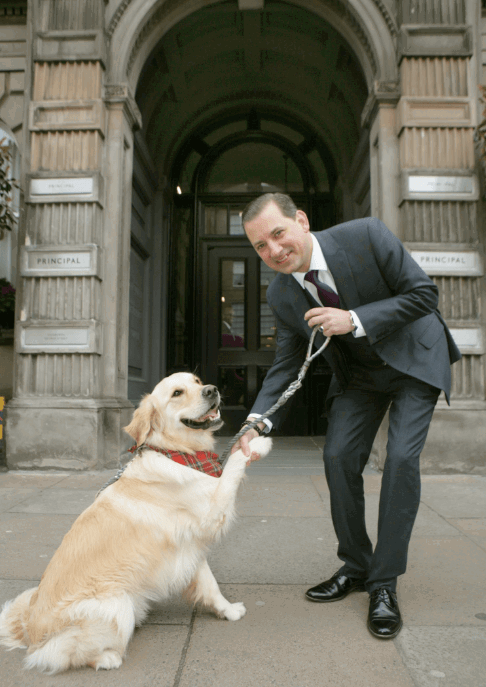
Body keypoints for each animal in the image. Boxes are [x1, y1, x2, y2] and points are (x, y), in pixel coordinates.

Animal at [0, 374, 274, 676]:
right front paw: (256, 446)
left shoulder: (190, 545)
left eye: (197, 380)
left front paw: (227, 610)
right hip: (114, 603)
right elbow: (232, 468)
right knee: (59, 654)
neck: (176, 452)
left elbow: (209, 584)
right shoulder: (211, 511)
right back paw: (108, 658)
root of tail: (28, 630)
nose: (212, 390)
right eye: (177, 393)